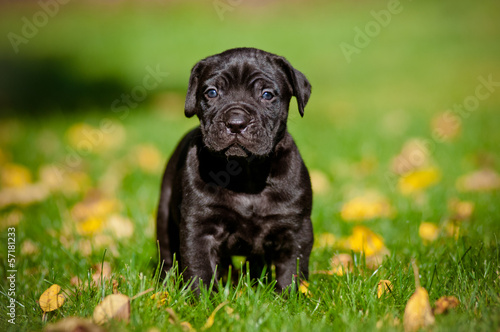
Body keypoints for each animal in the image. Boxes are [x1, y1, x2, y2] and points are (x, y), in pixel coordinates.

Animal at [156, 47, 312, 294]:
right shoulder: (199, 228)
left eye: (267, 95)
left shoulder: (296, 229)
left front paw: (288, 297)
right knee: (167, 253)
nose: (236, 122)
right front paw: (202, 300)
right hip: (164, 214)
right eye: (211, 92)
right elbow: (199, 269)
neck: (245, 172)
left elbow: (291, 271)